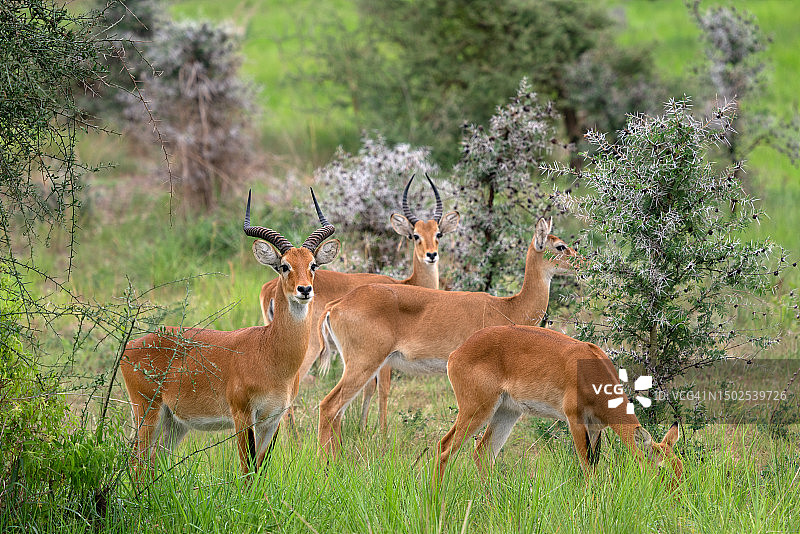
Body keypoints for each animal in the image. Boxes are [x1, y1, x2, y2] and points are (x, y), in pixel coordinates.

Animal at [120, 191, 340, 476]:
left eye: (312, 265)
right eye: (284, 266)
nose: (304, 290)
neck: (270, 352)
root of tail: (131, 346)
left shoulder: (273, 419)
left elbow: (260, 471)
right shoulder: (243, 415)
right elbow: (247, 469)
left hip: (175, 423)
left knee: (153, 462)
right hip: (148, 412)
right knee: (137, 463)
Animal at [316, 217, 580, 456]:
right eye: (560, 246)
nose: (582, 263)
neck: (508, 307)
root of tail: (337, 304)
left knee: (337, 413)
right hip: (364, 364)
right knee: (329, 406)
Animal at [434, 326, 684, 486]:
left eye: (680, 466)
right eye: (661, 467)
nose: (678, 497)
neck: (593, 372)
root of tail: (457, 352)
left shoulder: (595, 428)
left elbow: (594, 466)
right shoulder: (575, 420)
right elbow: (587, 468)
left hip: (507, 412)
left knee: (483, 453)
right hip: (476, 409)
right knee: (444, 447)